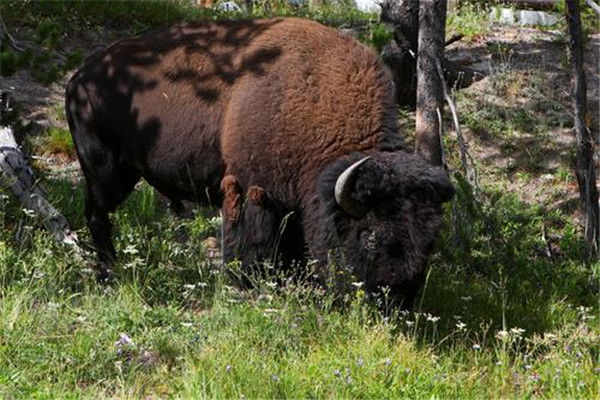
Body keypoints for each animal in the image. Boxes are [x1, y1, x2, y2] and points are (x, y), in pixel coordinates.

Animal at [65, 17, 452, 308]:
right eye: (371, 235)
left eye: (429, 241)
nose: (397, 301)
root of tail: (81, 76)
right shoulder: (252, 188)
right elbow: (249, 238)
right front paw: (245, 282)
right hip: (105, 170)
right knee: (97, 215)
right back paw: (110, 272)